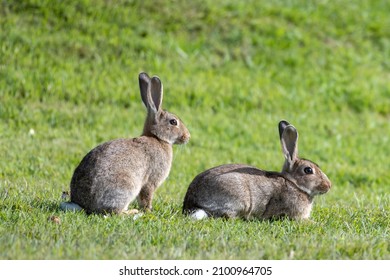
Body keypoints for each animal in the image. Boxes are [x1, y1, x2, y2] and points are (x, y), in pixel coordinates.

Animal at [59, 72, 190, 214]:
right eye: (173, 122)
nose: (188, 136)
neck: (157, 138)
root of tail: (84, 205)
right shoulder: (150, 181)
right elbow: (146, 197)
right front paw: (149, 211)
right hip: (125, 187)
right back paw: (131, 212)